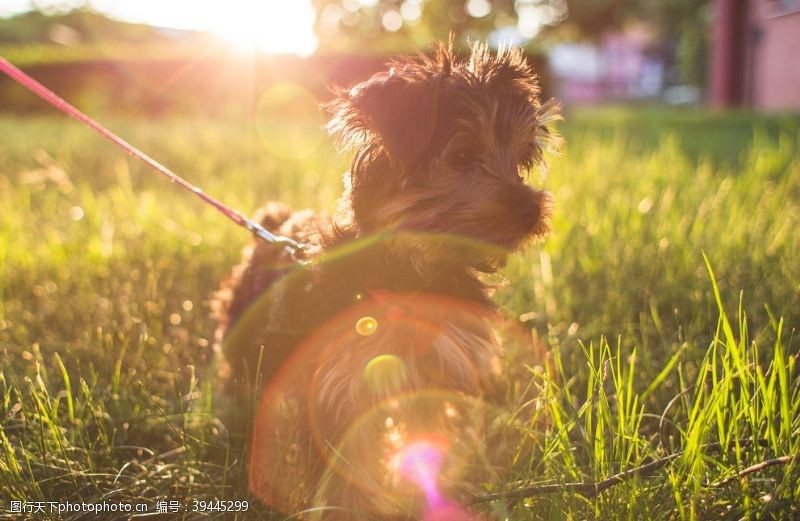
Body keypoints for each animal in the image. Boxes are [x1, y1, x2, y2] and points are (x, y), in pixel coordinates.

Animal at [214, 42, 564, 516]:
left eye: (520, 160)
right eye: (461, 156)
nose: (530, 209)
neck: (412, 271)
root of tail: (273, 224)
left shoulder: (439, 371)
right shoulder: (338, 383)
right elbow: (346, 467)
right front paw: (348, 509)